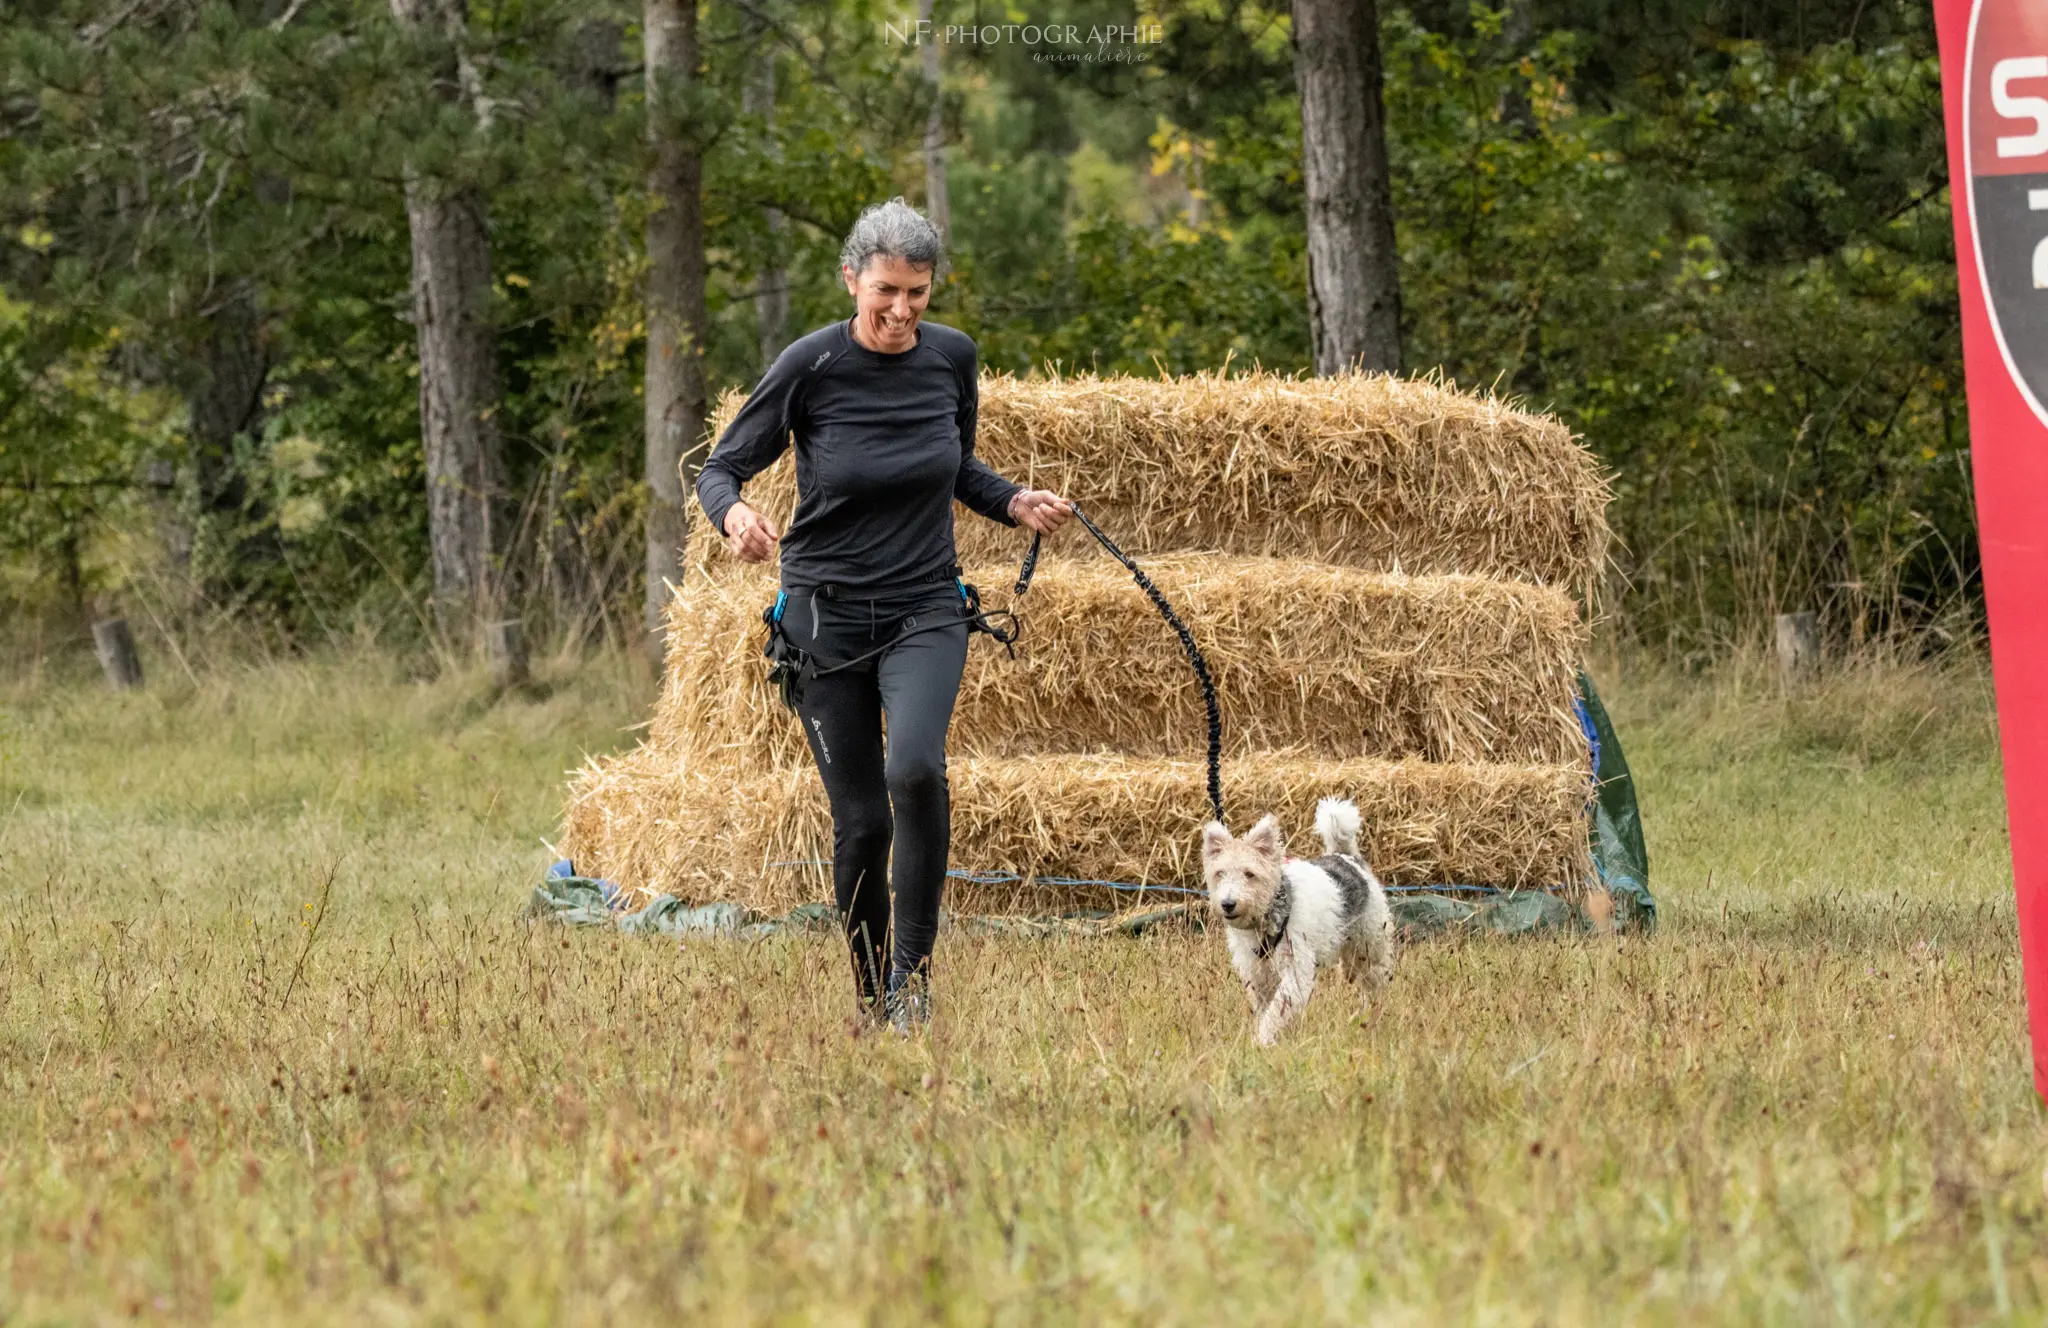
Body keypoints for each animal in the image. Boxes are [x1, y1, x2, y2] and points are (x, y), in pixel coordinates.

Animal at [1196, 799, 1400, 1049]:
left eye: (1249, 874)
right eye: (1220, 873)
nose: (1228, 904)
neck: (1269, 915)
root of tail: (1346, 857)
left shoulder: (1295, 969)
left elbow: (1277, 1011)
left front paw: (1262, 1040)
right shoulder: (1258, 974)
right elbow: (1268, 1009)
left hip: (1369, 948)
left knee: (1374, 987)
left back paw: (1367, 1018)